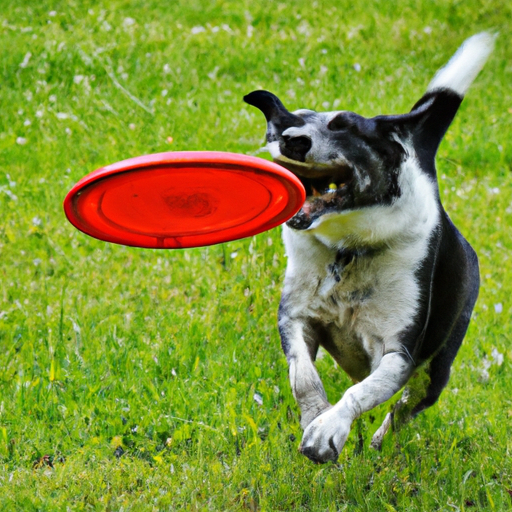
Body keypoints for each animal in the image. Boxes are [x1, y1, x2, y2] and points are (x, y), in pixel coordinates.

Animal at [246, 33, 494, 464]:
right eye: (285, 127)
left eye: (346, 128)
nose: (293, 141)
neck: (348, 248)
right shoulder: (294, 318)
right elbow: (303, 376)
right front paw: (316, 414)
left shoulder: (397, 353)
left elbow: (360, 393)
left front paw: (327, 430)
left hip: (436, 371)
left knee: (403, 410)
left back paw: (380, 444)